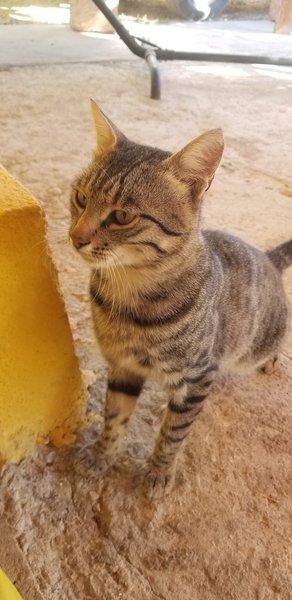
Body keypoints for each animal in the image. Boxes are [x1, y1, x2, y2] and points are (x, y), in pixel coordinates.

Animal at [69, 101, 292, 500]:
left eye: (122, 216)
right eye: (80, 198)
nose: (75, 237)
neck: (129, 298)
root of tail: (267, 256)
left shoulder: (197, 376)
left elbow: (172, 434)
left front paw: (158, 473)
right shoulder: (123, 367)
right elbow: (114, 419)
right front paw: (101, 456)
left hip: (253, 347)